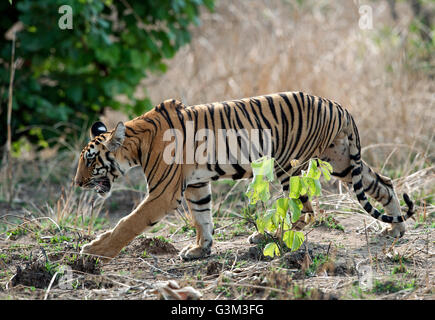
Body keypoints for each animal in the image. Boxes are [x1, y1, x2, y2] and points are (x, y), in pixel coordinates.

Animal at [74, 91, 416, 262]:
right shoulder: (196, 184)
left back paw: (268, 238)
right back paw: (395, 229)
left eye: (91, 161)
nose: (77, 183)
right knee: (383, 184)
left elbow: (128, 223)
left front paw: (95, 251)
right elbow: (202, 218)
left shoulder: (163, 193)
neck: (136, 142)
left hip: (289, 165)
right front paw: (200, 250)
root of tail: (339, 105)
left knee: (304, 212)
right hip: (342, 161)